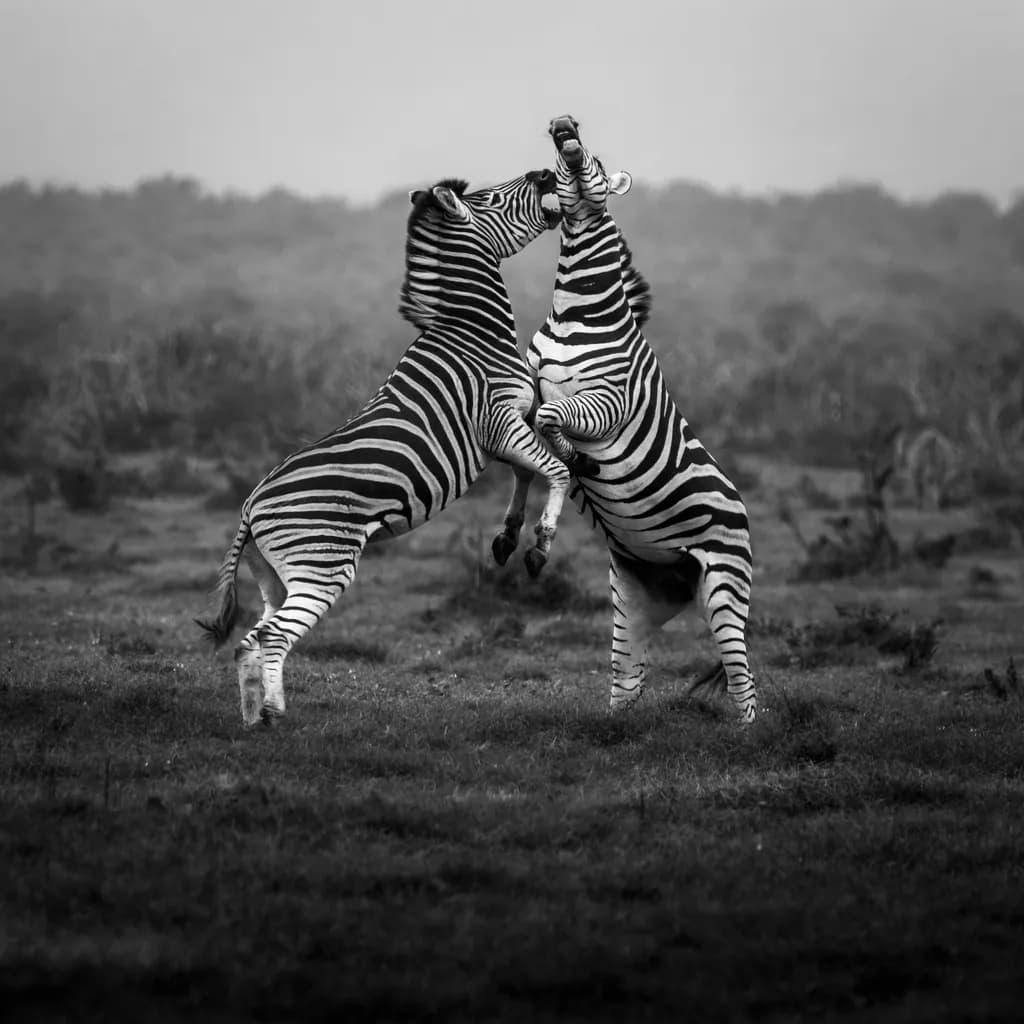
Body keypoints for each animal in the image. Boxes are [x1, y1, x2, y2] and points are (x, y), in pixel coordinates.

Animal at [197, 170, 569, 726]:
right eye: (492, 197)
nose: (543, 174)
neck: (473, 331)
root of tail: (249, 506)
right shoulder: (499, 421)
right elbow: (556, 470)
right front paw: (541, 543)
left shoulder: (502, 431)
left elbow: (529, 472)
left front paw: (508, 535)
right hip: (322, 565)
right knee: (274, 637)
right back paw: (273, 712)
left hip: (275, 575)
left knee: (250, 640)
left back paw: (256, 717)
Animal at [497, 116, 756, 723]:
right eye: (560, 144)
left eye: (592, 159)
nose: (564, 125)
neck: (577, 314)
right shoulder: (527, 387)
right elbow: (524, 455)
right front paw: (516, 530)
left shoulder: (607, 402)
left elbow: (553, 422)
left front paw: (572, 466)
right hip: (636, 595)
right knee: (628, 679)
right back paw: (618, 728)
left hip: (724, 584)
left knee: (743, 680)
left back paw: (749, 734)